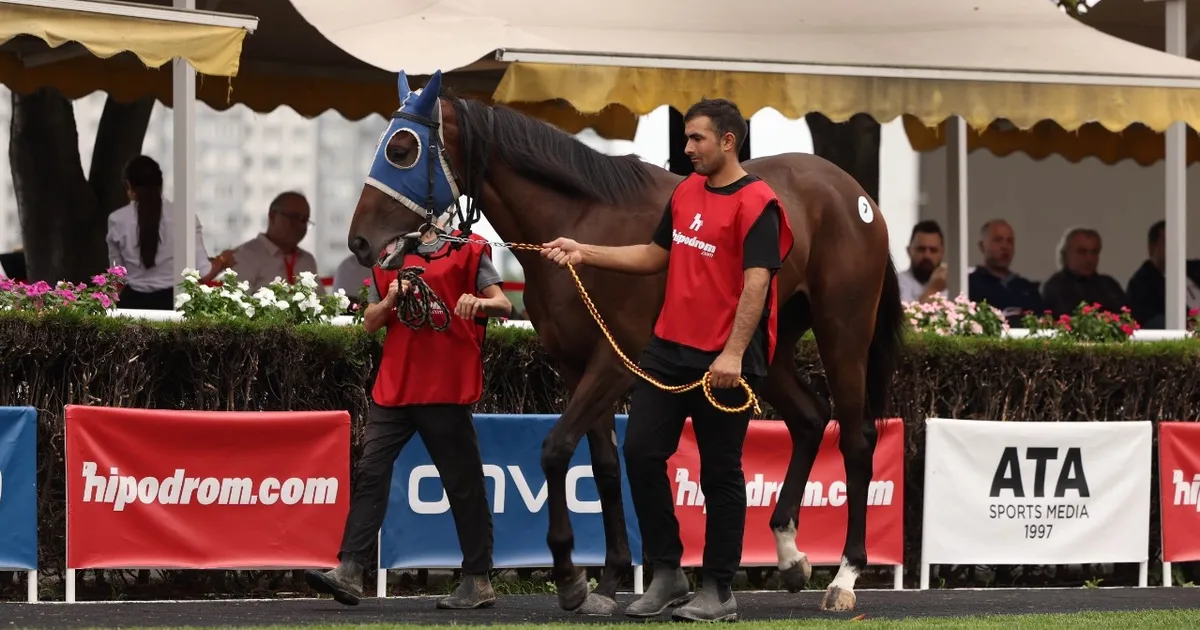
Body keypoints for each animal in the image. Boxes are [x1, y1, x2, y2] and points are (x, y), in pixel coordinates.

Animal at [345, 69, 902, 614]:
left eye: (402, 150)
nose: (359, 242)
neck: (585, 220)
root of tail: (856, 195)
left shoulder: (616, 361)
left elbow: (555, 449)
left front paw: (571, 577)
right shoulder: (575, 366)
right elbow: (606, 466)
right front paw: (610, 580)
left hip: (843, 329)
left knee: (856, 438)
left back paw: (846, 575)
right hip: (765, 346)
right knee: (809, 418)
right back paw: (789, 555)